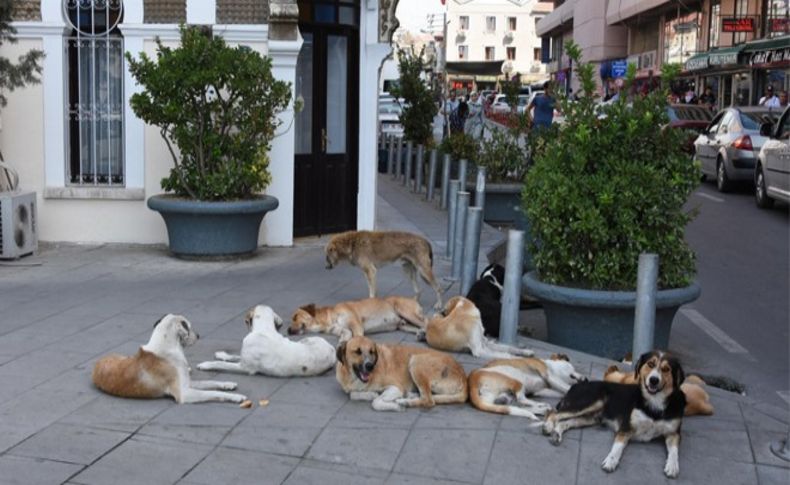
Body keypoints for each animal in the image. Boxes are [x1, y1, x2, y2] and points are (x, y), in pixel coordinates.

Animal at [91, 312, 244, 402]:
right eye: (189, 327)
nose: (198, 335)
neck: (167, 347)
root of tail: (97, 363)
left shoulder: (187, 383)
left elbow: (210, 383)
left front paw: (227, 384)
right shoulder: (184, 393)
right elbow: (212, 392)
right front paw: (236, 397)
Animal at [198, 304, 338, 376]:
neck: (264, 329)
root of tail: (332, 350)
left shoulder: (245, 367)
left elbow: (221, 364)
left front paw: (206, 365)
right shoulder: (244, 357)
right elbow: (233, 356)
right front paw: (222, 354)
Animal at [290, 294, 426, 340]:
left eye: (295, 316)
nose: (288, 330)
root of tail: (414, 299)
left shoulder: (356, 325)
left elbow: (356, 337)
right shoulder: (343, 330)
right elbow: (346, 336)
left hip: (405, 311)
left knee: (427, 322)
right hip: (404, 325)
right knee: (419, 327)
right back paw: (422, 334)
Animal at [336, 336, 470, 412]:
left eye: (371, 351)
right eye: (357, 351)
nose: (370, 366)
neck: (354, 378)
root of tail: (463, 374)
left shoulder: (396, 387)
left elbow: (376, 402)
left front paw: (394, 405)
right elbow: (353, 394)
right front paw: (371, 394)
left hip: (416, 361)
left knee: (429, 400)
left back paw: (404, 401)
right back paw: (410, 396)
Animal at [544, 350, 688, 478]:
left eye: (666, 369)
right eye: (650, 364)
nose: (654, 380)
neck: (654, 403)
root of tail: (574, 386)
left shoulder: (674, 433)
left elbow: (674, 451)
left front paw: (673, 466)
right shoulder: (625, 428)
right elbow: (617, 447)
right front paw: (611, 460)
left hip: (589, 417)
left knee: (564, 422)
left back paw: (556, 434)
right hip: (590, 402)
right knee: (553, 413)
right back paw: (547, 426)